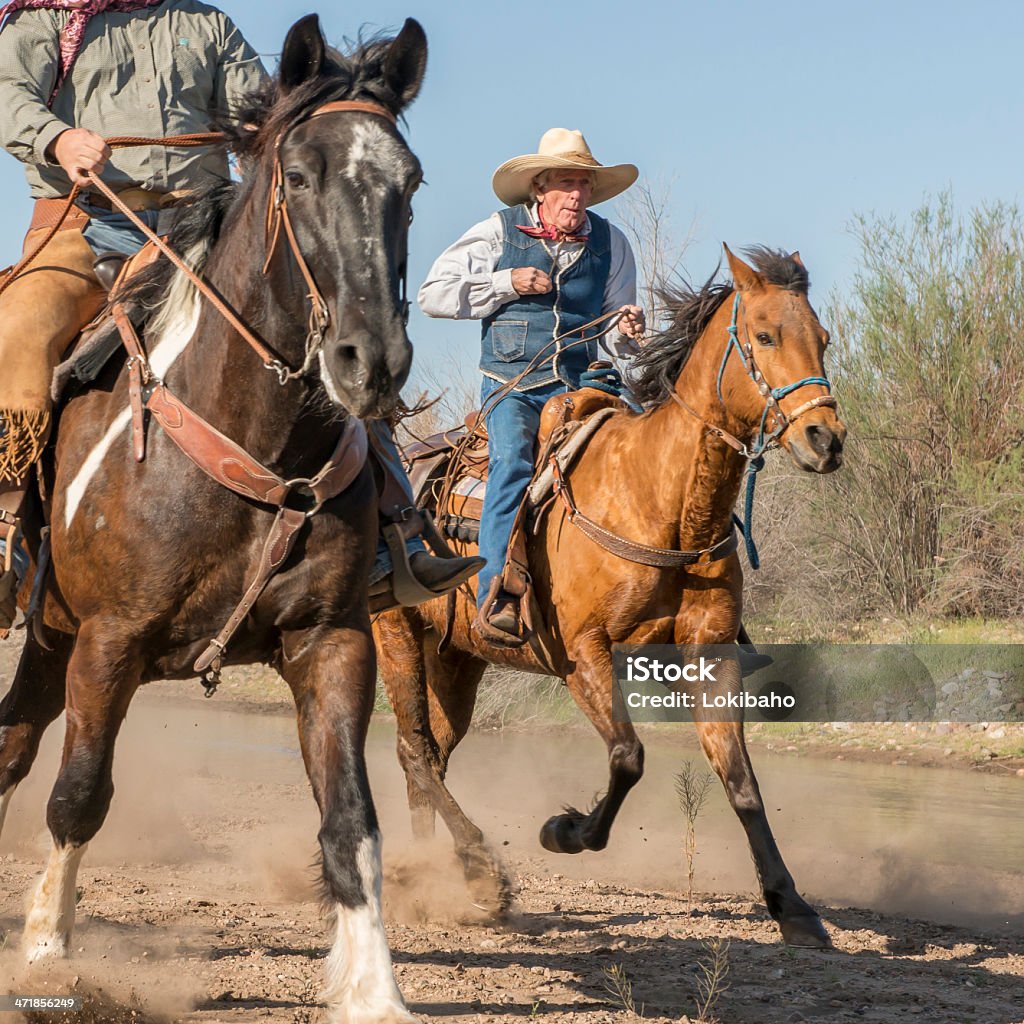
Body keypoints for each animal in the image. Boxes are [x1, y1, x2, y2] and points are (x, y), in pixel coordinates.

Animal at [0, 16, 428, 1024]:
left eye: (411, 181)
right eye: (299, 175)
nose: (371, 361)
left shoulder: (332, 640)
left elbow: (351, 821)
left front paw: (373, 990)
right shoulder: (110, 641)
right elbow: (79, 795)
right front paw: (46, 954)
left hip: (46, 638)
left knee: (7, 746)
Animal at [376, 243, 847, 946]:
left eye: (821, 338)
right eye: (765, 336)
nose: (826, 440)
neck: (662, 499)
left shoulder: (710, 654)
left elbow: (739, 779)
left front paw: (792, 905)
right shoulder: (583, 654)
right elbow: (628, 757)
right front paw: (563, 830)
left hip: (456, 658)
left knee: (429, 753)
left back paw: (433, 872)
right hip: (397, 636)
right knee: (415, 750)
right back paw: (481, 873)